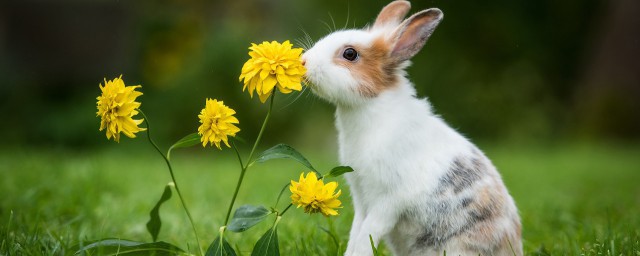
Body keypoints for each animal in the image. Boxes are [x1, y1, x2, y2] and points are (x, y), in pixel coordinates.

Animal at [302, 1, 524, 256]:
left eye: (350, 54)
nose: (304, 61)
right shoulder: (361, 200)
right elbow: (356, 234)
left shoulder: (386, 202)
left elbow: (366, 237)